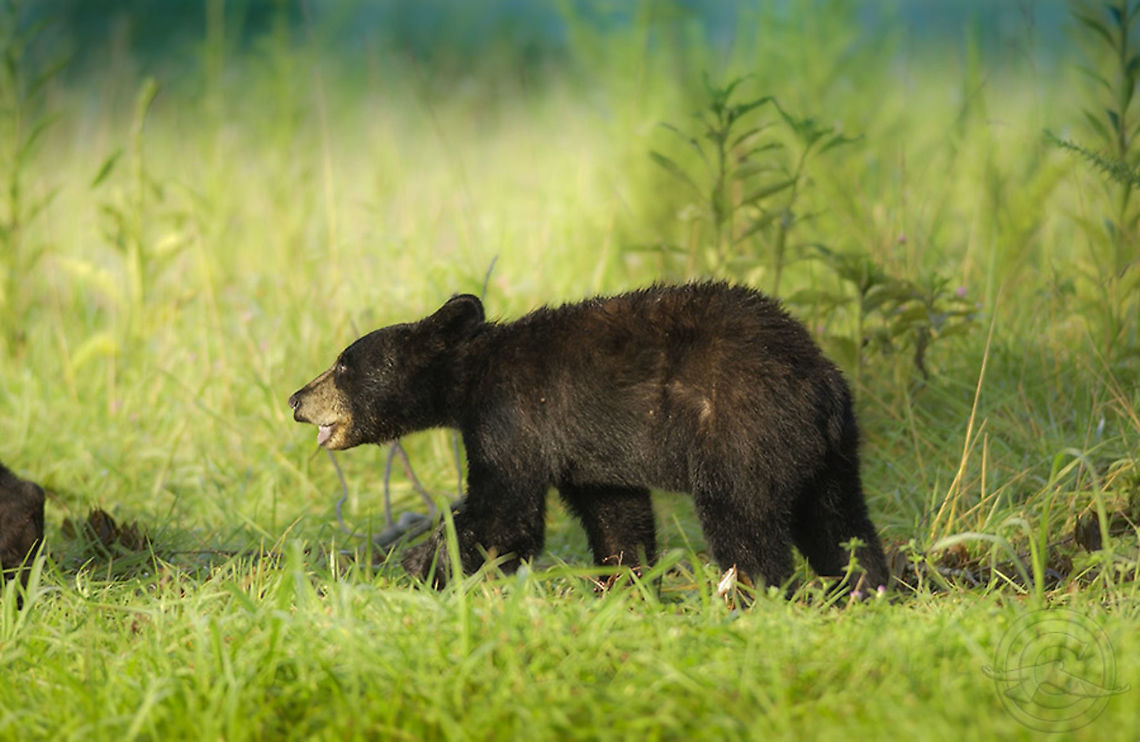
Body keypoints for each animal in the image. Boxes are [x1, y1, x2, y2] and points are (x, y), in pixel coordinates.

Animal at [289, 282, 889, 592]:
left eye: (343, 364)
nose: (296, 399)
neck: (472, 376)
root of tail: (819, 381)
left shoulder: (514, 419)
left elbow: (504, 514)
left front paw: (421, 567)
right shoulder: (589, 453)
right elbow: (617, 515)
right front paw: (623, 586)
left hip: (741, 432)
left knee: (744, 523)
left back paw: (752, 596)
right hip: (829, 453)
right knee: (841, 524)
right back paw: (866, 589)